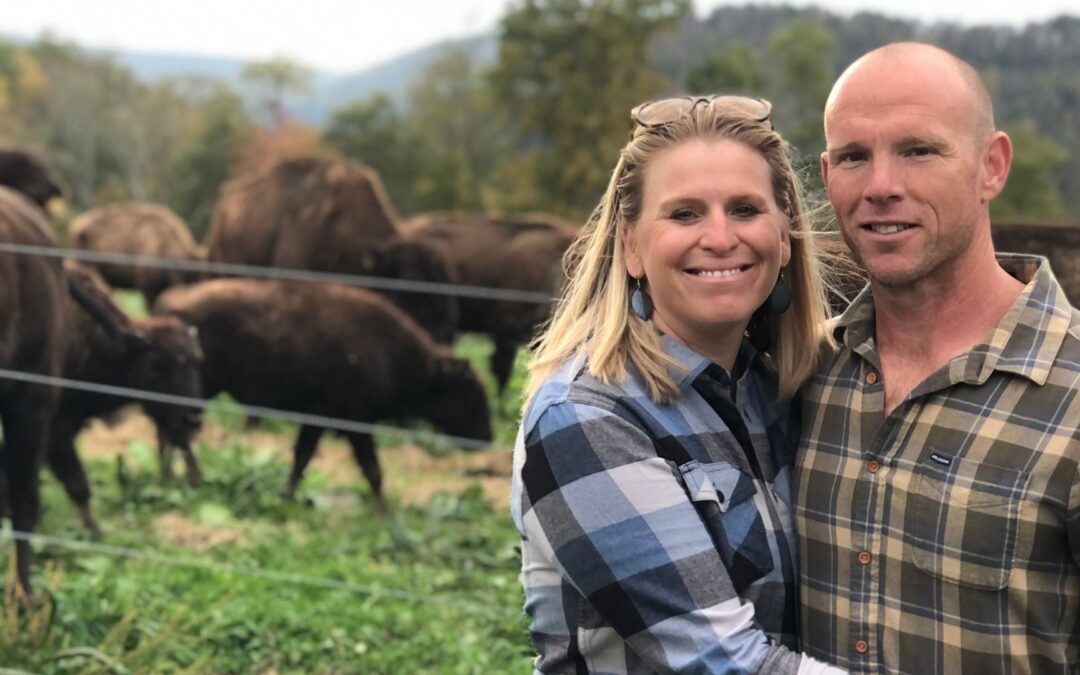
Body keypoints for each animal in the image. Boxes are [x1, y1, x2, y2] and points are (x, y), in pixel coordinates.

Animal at [152, 276, 494, 507]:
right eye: (470, 394)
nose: (487, 438)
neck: (389, 349)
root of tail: (172, 302)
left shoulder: (317, 417)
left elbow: (302, 458)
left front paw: (287, 497)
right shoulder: (354, 421)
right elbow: (372, 470)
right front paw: (383, 512)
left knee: (169, 430)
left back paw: (171, 477)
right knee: (178, 430)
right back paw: (190, 478)